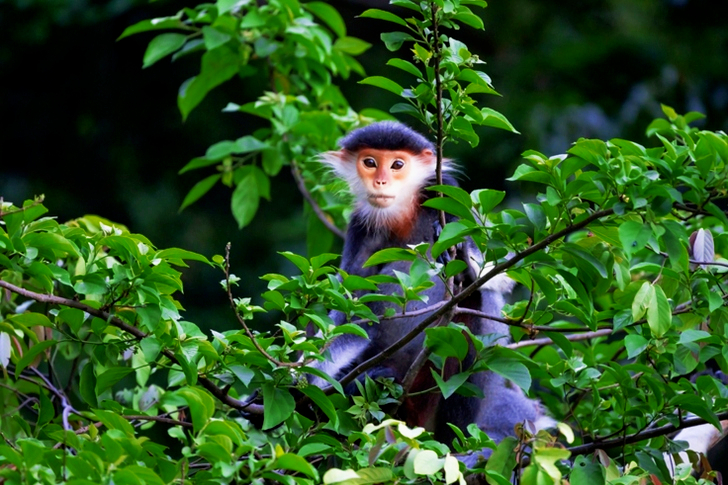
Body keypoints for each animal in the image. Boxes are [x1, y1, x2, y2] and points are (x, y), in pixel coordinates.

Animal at [311, 120, 552, 465]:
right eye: (370, 162)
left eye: (397, 165)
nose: (381, 180)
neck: (404, 213)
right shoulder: (360, 226)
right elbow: (353, 313)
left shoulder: (449, 197)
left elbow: (499, 277)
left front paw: (465, 264)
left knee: (471, 315)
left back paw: (457, 443)